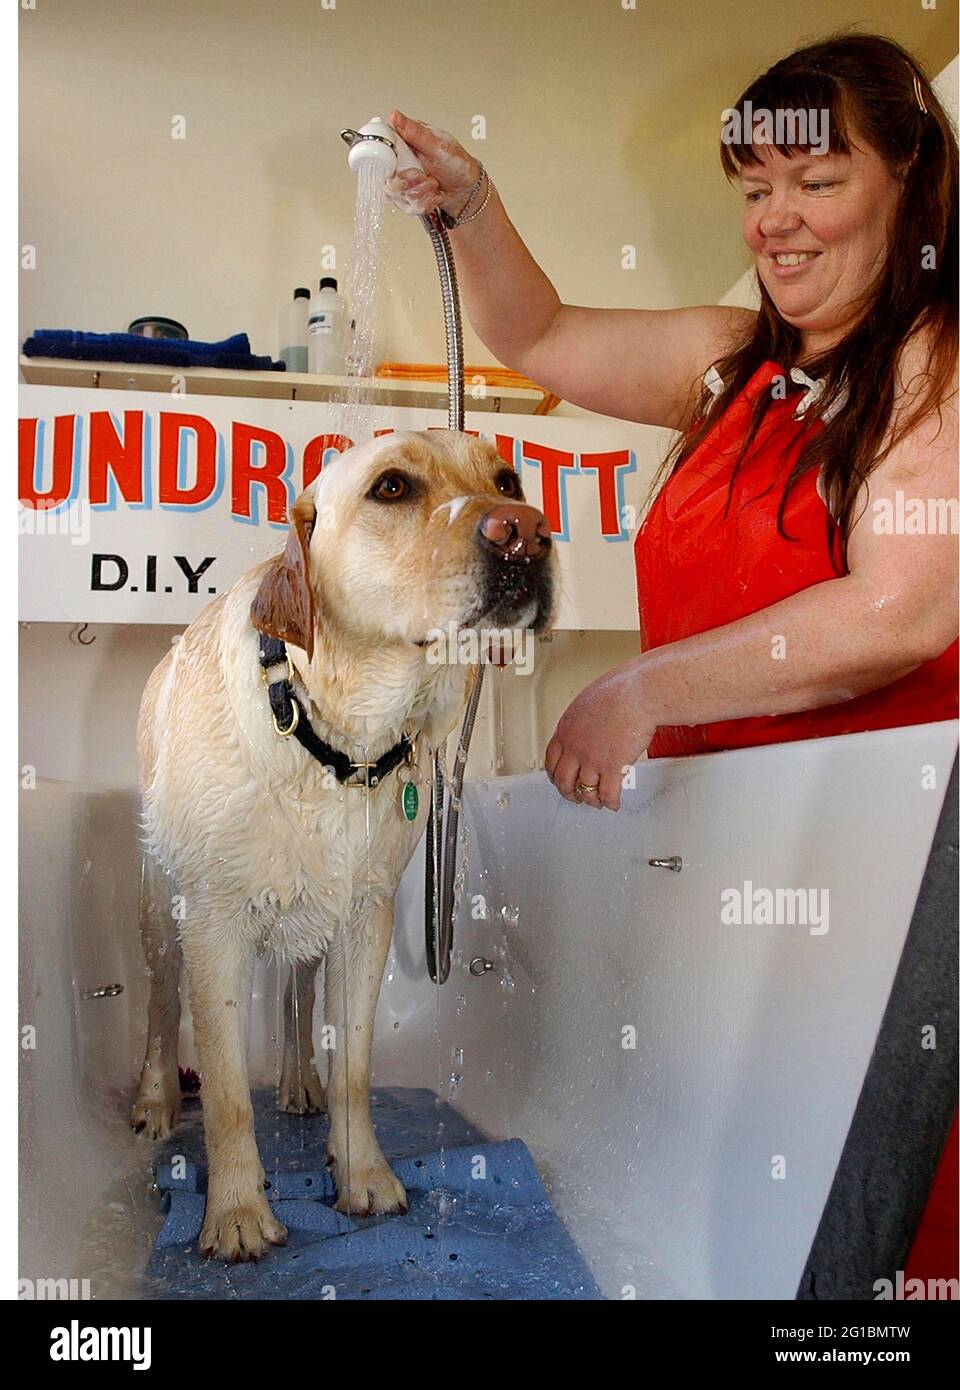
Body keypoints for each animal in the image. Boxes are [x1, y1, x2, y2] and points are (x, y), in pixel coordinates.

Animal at [130, 430, 552, 1262]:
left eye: (509, 481)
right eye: (391, 487)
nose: (525, 530)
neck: (339, 740)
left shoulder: (366, 917)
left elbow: (355, 1065)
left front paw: (362, 1176)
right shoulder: (214, 926)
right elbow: (226, 1092)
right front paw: (236, 1213)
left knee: (296, 999)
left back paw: (300, 1084)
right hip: (163, 917)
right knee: (161, 1013)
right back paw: (158, 1101)